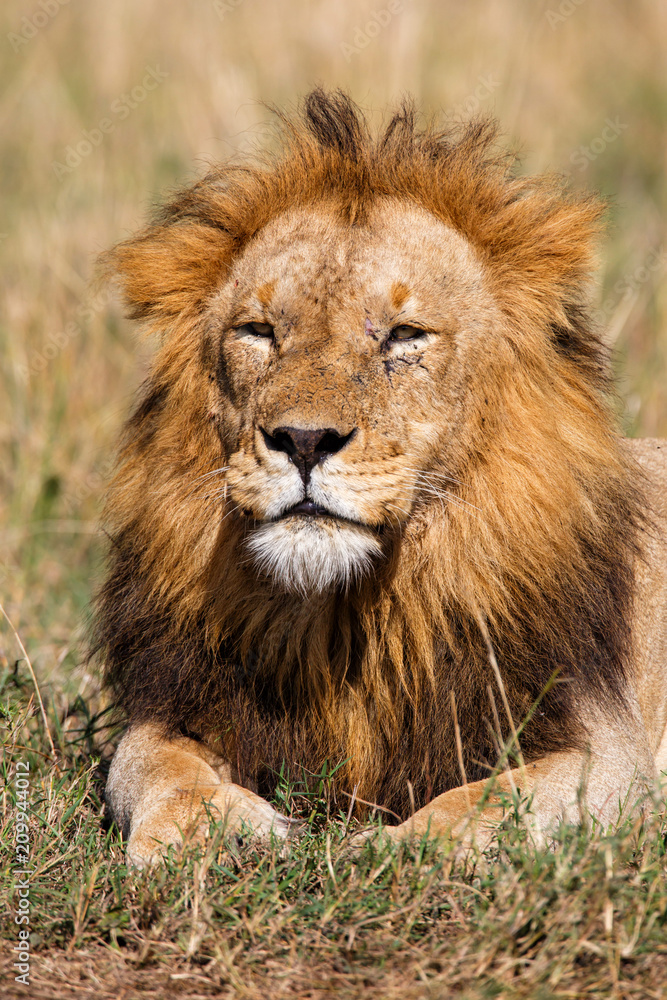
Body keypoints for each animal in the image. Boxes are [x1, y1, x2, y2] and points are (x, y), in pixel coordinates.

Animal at [96, 90, 667, 867]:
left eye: (404, 336)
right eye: (258, 331)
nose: (303, 440)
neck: (342, 619)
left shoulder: (608, 749)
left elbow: (490, 801)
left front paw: (393, 850)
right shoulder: (180, 705)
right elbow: (152, 765)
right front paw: (205, 832)